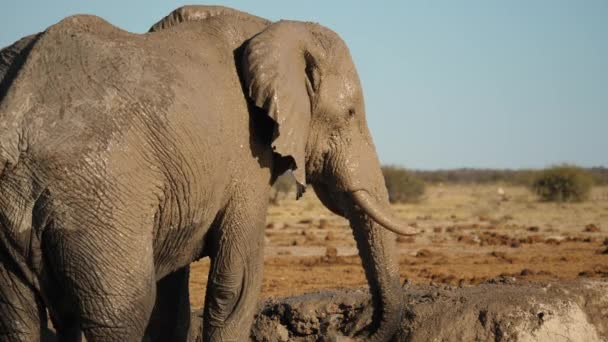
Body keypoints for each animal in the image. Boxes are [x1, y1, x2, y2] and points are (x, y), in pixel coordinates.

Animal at [0, 5, 414, 342]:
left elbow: (171, 305)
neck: (269, 27)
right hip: (100, 202)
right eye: (350, 114)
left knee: (19, 318)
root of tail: (14, 121)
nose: (350, 327)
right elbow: (236, 282)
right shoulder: (246, 156)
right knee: (121, 312)